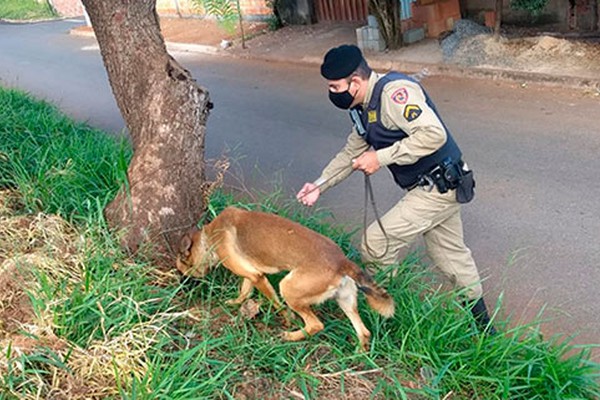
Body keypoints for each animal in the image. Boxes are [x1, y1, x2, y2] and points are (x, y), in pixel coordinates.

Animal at [176, 206, 396, 350]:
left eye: (182, 270)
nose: (182, 286)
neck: (209, 236)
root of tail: (342, 261)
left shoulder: (257, 276)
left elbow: (277, 304)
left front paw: (288, 320)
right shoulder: (254, 274)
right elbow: (245, 291)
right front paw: (236, 302)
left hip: (289, 288)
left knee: (315, 325)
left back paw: (290, 336)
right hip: (346, 301)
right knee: (364, 332)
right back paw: (359, 354)